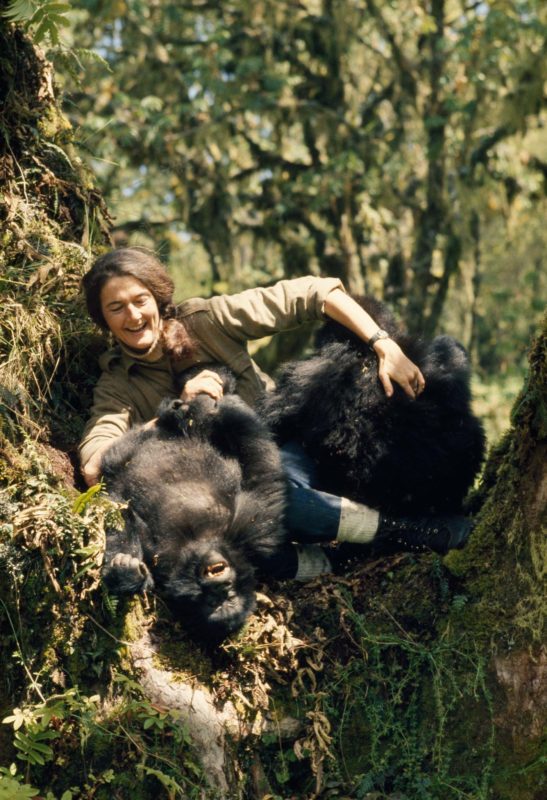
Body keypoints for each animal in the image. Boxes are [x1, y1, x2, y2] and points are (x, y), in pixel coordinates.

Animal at [100, 378, 286, 640]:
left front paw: (126, 575)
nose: (220, 583)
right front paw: (221, 407)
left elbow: (127, 518)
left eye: (223, 598)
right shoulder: (255, 532)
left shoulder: (163, 563)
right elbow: (261, 472)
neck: (200, 541)